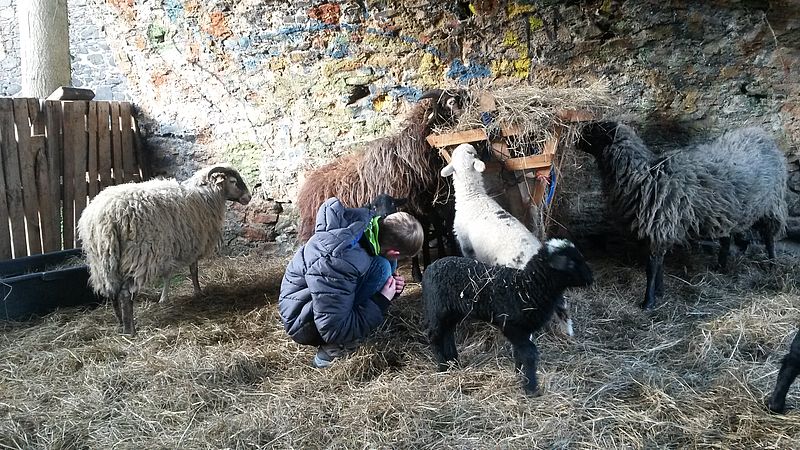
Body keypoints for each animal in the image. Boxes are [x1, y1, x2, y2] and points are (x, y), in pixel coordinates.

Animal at [77, 163, 250, 336]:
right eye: (234, 181)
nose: (248, 197)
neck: (206, 195)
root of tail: (104, 218)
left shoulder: (171, 247)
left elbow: (168, 274)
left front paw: (164, 299)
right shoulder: (193, 243)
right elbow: (193, 270)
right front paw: (198, 292)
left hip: (103, 261)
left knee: (112, 291)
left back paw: (120, 322)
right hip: (139, 256)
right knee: (125, 293)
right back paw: (130, 330)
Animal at [422, 239, 592, 394]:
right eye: (571, 263)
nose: (590, 278)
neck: (527, 287)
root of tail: (429, 267)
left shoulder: (525, 328)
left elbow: (519, 352)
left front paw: (518, 373)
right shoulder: (510, 325)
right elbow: (529, 352)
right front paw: (530, 387)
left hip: (451, 312)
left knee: (447, 334)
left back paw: (454, 362)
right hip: (437, 309)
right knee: (434, 337)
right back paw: (442, 367)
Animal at [440, 142, 580, 336]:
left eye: (470, 152)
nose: (468, 145)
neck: (472, 197)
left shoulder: (466, 245)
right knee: (562, 305)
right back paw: (567, 332)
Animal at [580, 123, 792, 310]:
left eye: (595, 131)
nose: (578, 136)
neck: (645, 176)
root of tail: (761, 135)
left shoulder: (660, 226)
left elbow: (652, 268)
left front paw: (648, 302)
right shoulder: (661, 230)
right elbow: (659, 266)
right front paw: (659, 292)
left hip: (771, 205)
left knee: (769, 237)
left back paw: (772, 264)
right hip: (727, 212)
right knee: (728, 238)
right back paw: (722, 266)